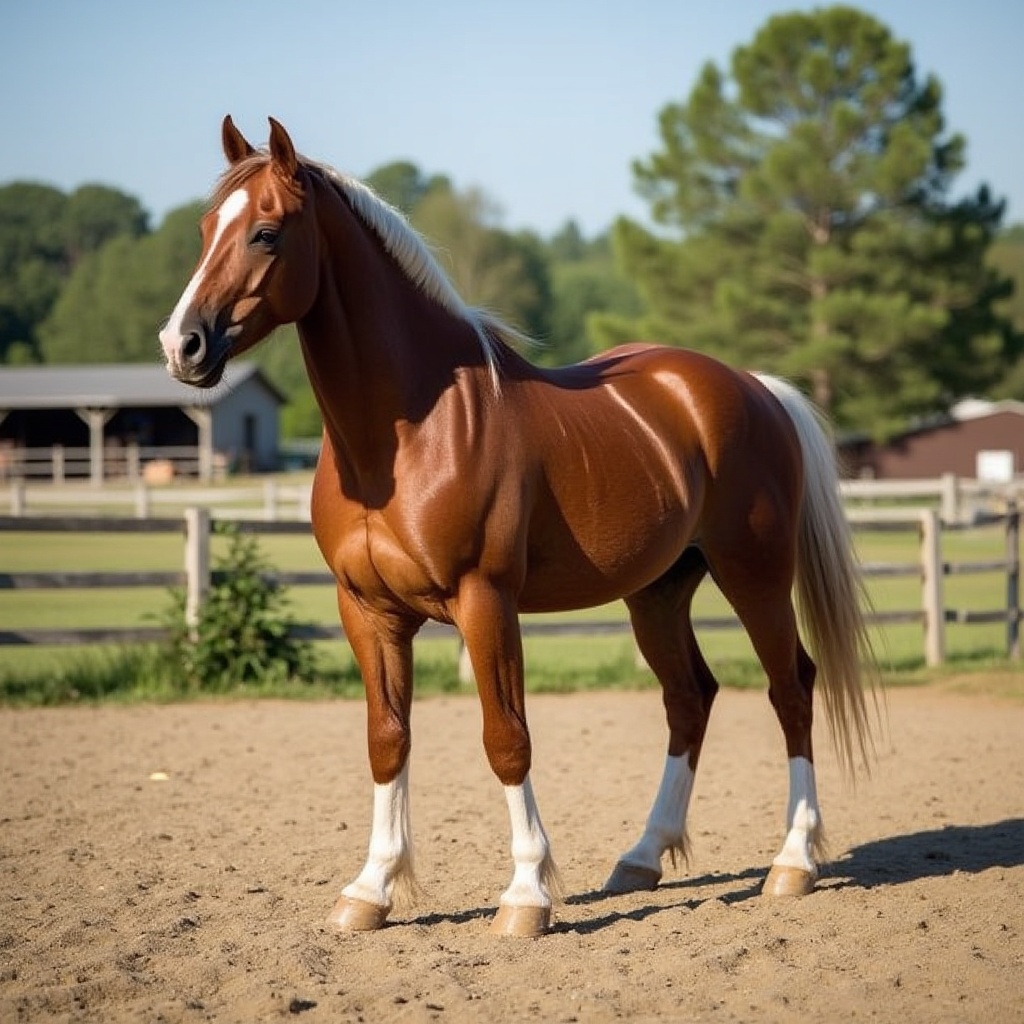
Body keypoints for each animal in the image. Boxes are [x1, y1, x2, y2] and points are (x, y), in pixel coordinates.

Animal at [159, 116, 877, 937]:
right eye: (206, 227)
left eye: (267, 233)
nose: (181, 345)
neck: (408, 436)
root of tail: (754, 387)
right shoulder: (368, 611)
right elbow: (387, 739)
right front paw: (370, 890)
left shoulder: (485, 600)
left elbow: (506, 738)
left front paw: (527, 894)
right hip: (658, 593)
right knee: (689, 698)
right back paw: (641, 857)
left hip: (753, 575)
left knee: (791, 688)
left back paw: (794, 862)